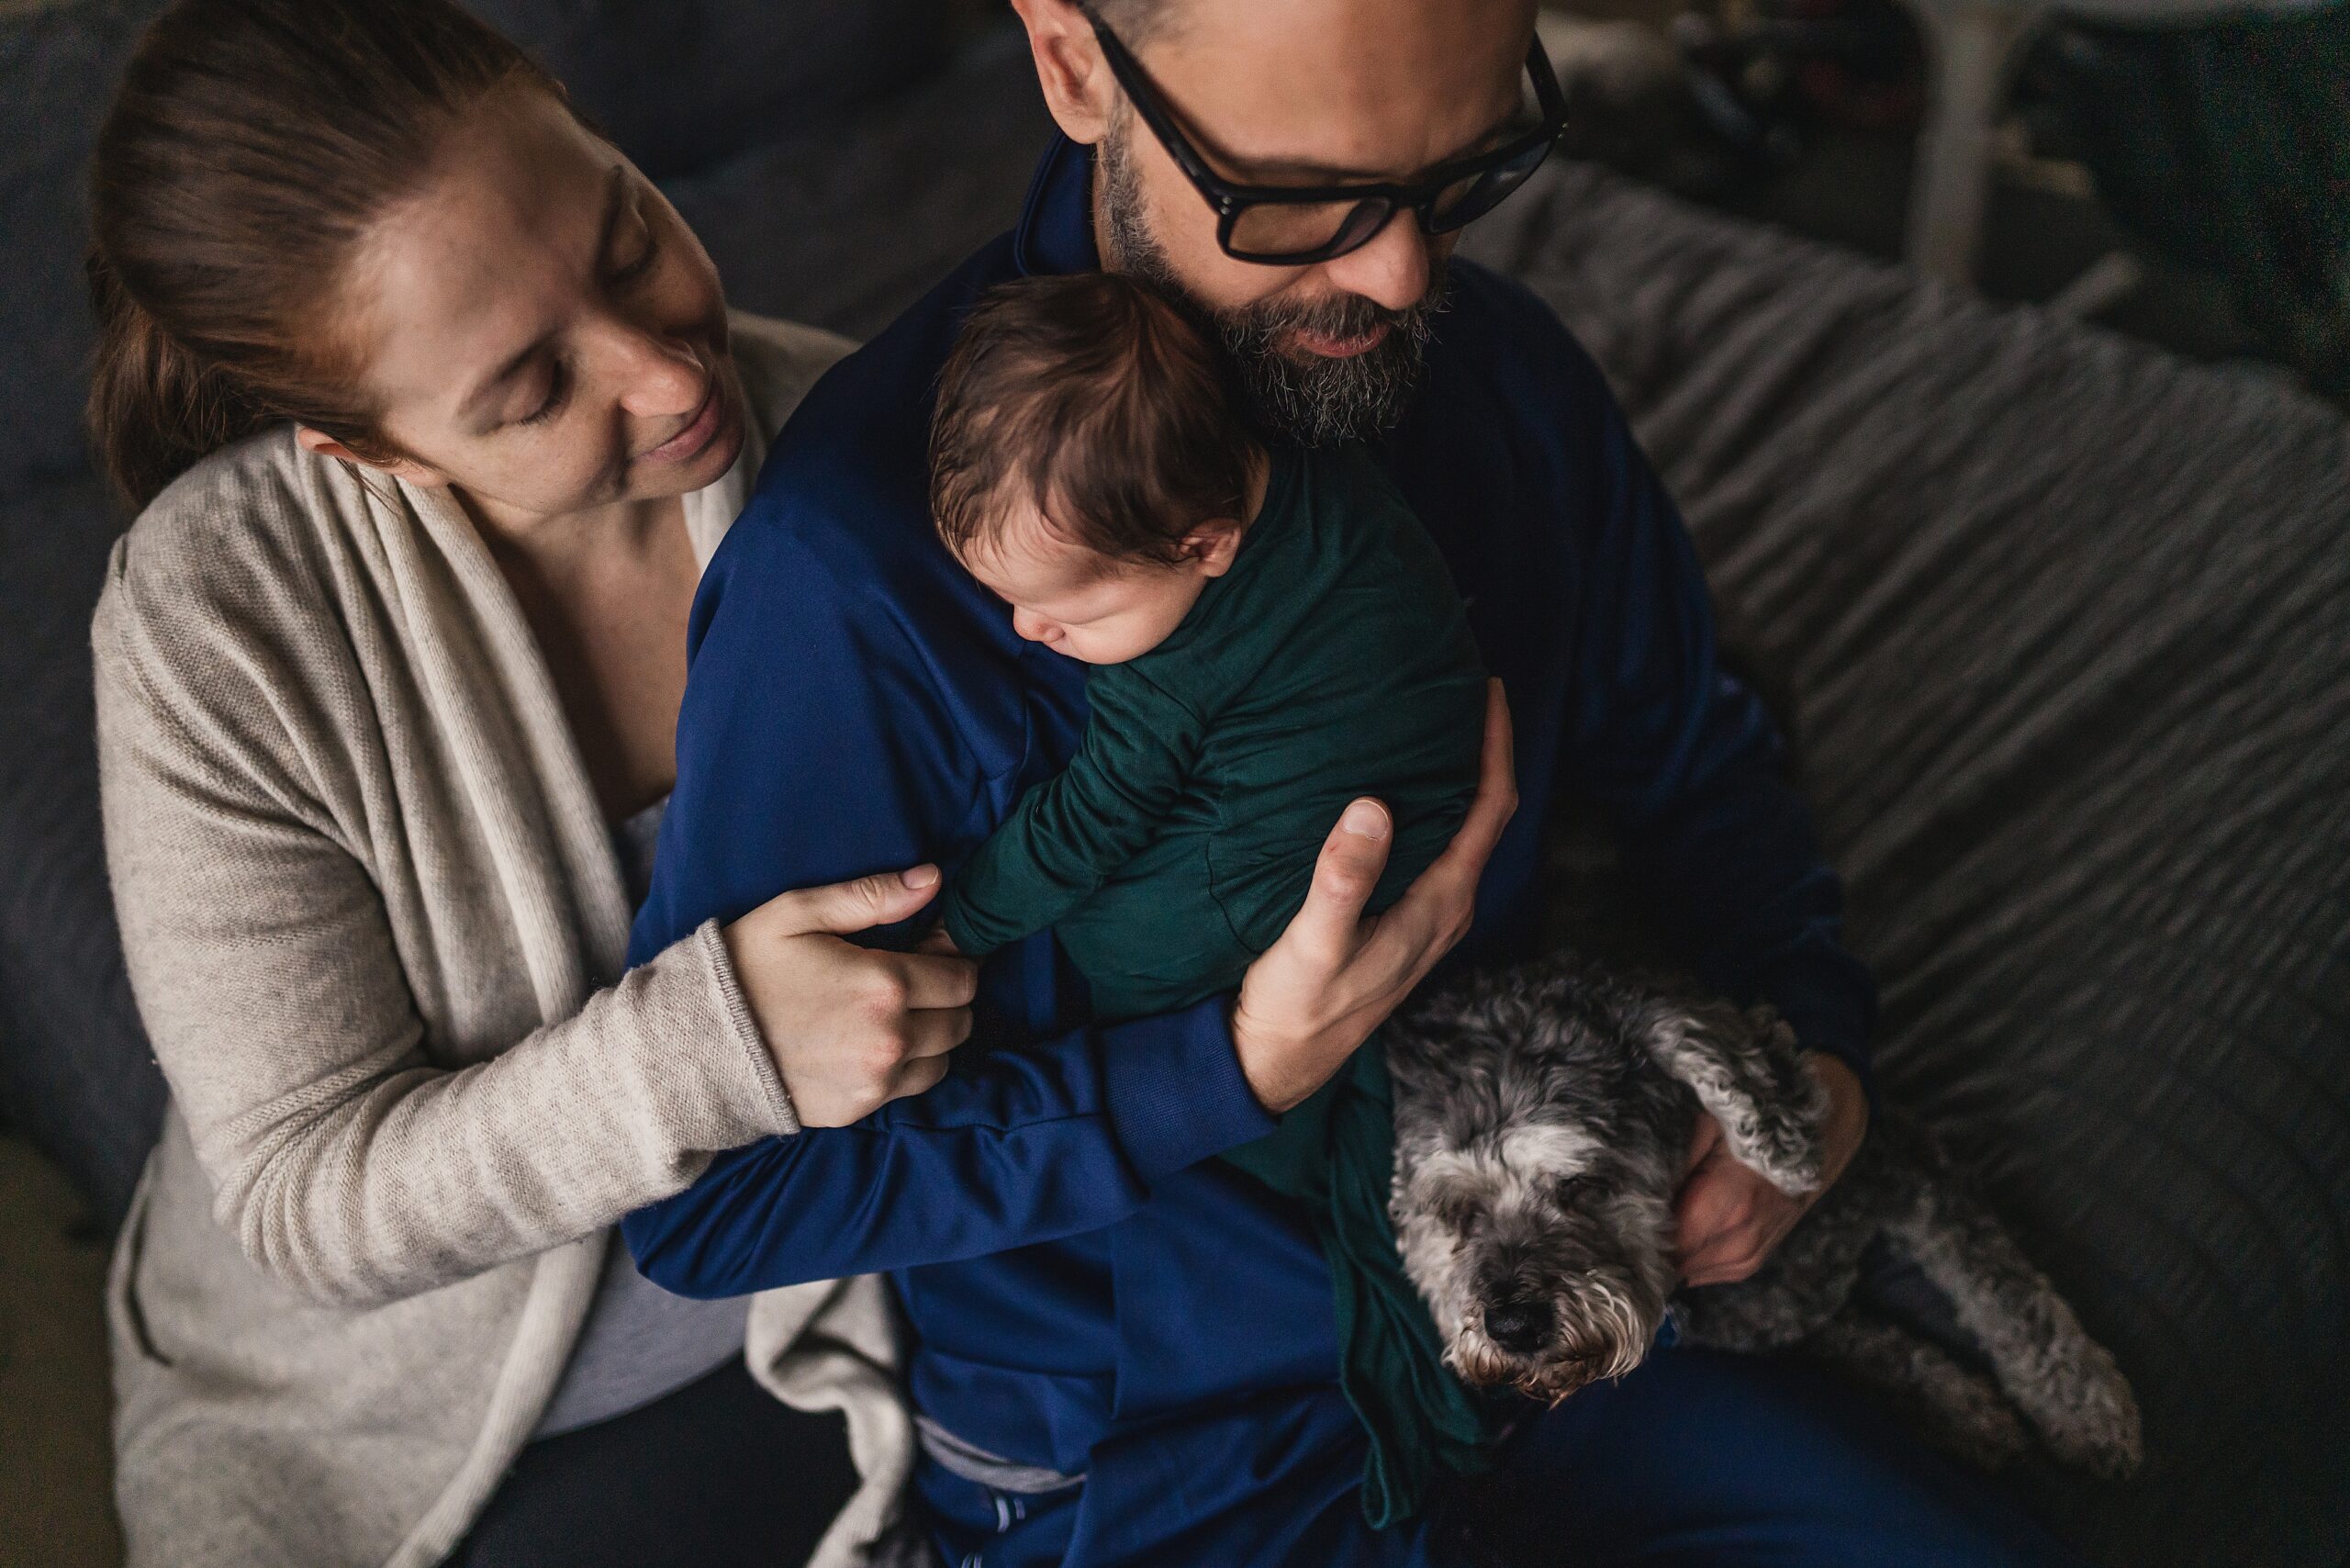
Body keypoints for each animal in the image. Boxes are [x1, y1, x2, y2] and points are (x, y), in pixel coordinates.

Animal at [1391, 949, 2152, 1476]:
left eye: (1584, 1183)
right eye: (1458, 1214)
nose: (1512, 1326)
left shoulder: (1909, 1168)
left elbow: (2008, 1294)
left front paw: (2085, 1409)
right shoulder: (1790, 1331)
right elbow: (1890, 1353)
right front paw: (1967, 1413)